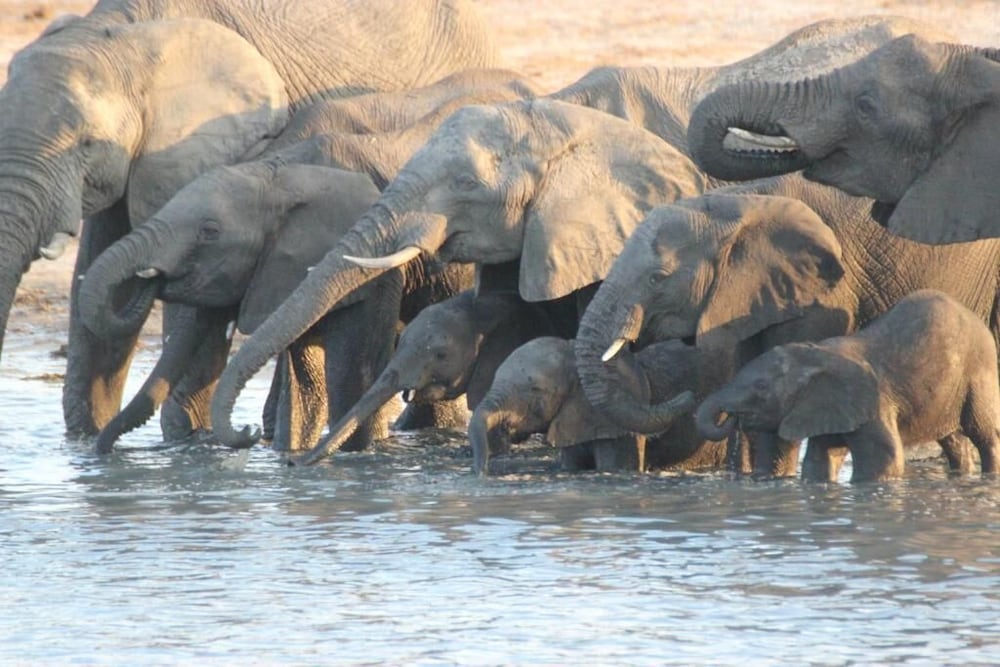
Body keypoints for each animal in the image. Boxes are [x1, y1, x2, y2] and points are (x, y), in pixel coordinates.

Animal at [78, 70, 539, 452]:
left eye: (209, 232)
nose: (246, 432)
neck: (278, 170)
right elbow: (305, 378)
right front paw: (289, 453)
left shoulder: (372, 272)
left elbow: (351, 373)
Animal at [695, 290, 1000, 482]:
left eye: (760, 388)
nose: (731, 416)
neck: (814, 357)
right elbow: (819, 462)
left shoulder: (873, 403)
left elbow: (884, 460)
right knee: (953, 439)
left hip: (979, 372)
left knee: (985, 434)